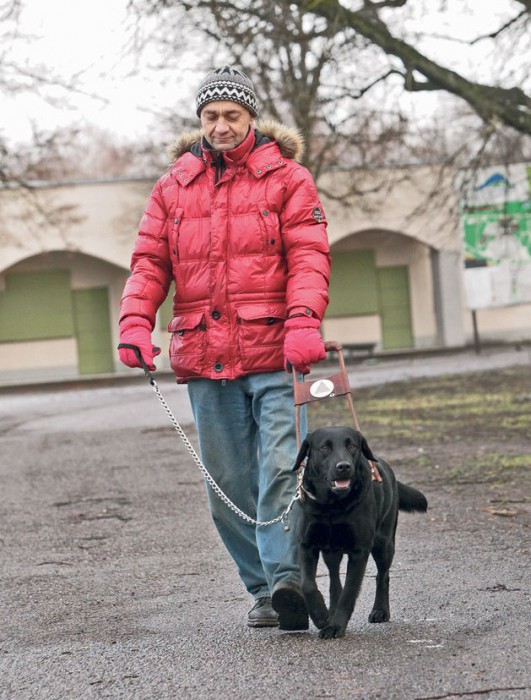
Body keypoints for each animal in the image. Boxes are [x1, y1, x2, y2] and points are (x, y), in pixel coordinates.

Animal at [296, 426, 428, 640]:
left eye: (352, 446)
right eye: (324, 447)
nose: (344, 466)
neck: (332, 506)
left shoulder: (359, 551)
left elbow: (349, 591)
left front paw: (336, 626)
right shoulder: (306, 545)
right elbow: (307, 584)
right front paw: (320, 615)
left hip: (384, 545)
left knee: (383, 576)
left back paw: (380, 610)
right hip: (331, 552)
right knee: (334, 579)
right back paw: (330, 610)